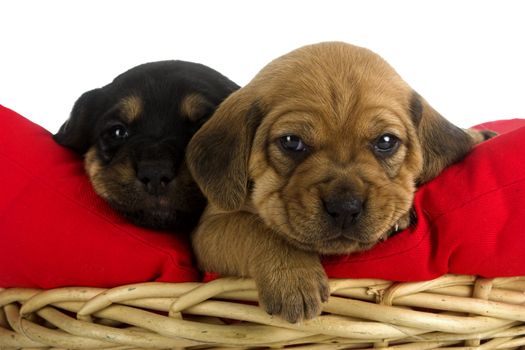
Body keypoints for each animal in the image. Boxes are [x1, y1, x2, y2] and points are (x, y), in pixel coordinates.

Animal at [186, 42, 494, 324]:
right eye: (291, 142)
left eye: (386, 141)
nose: (345, 208)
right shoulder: (210, 227)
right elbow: (256, 229)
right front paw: (293, 280)